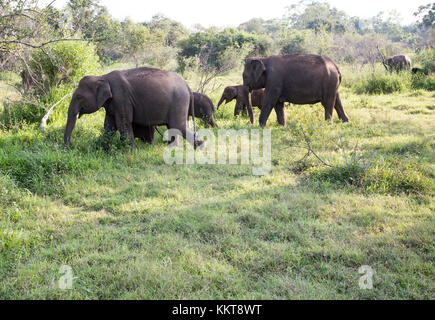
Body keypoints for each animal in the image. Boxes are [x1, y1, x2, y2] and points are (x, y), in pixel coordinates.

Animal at [64, 67, 204, 149]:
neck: (102, 77)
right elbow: (109, 125)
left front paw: (132, 150)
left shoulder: (121, 98)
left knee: (178, 125)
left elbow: (123, 123)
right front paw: (99, 147)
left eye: (79, 97)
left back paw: (197, 147)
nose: (69, 146)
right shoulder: (113, 103)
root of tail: (187, 85)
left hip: (179, 101)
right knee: (176, 126)